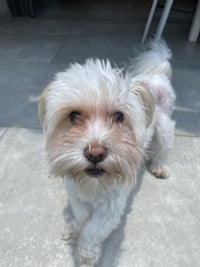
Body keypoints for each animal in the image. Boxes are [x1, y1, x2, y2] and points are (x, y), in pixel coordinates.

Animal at [38, 40, 175, 267]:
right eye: (73, 116)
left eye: (119, 116)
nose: (95, 154)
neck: (93, 184)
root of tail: (156, 76)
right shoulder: (76, 195)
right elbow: (81, 217)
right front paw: (74, 228)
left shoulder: (112, 206)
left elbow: (94, 230)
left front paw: (86, 253)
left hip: (165, 128)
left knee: (164, 147)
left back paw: (160, 166)